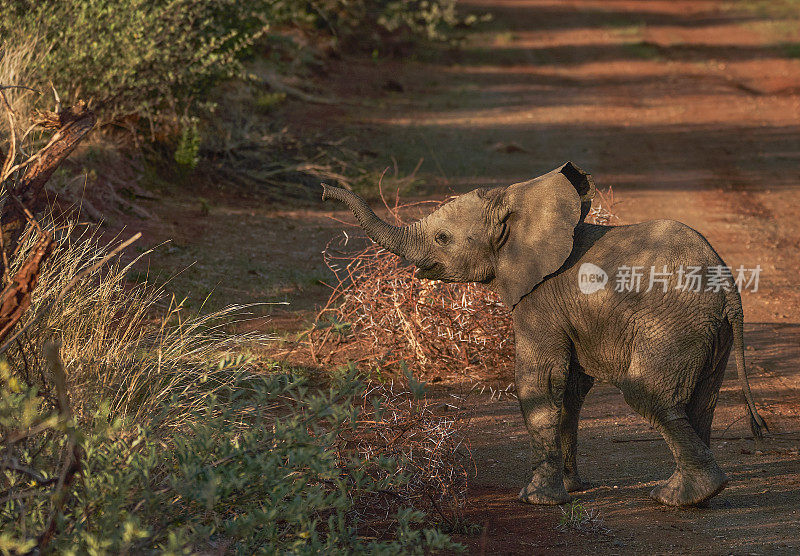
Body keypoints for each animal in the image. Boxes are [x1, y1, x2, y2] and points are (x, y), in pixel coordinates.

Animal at [320, 163, 768, 506]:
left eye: (442, 238)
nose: (324, 191)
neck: (515, 207)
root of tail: (727, 284)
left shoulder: (538, 299)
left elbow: (542, 381)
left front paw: (537, 501)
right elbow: (569, 389)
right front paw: (572, 488)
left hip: (674, 324)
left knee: (649, 394)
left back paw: (680, 499)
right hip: (709, 331)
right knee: (701, 400)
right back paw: (693, 494)